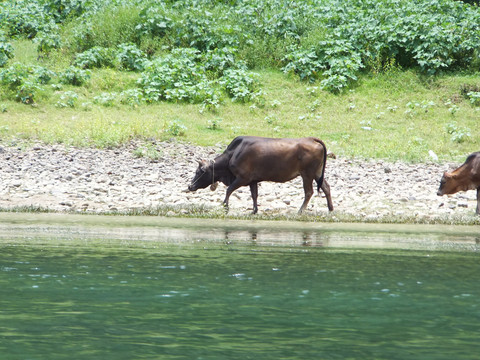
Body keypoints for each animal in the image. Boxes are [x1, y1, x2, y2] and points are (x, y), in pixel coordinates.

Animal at [188, 135, 334, 214]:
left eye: (198, 172)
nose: (190, 186)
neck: (232, 155)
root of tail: (312, 139)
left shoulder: (242, 177)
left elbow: (229, 190)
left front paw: (225, 206)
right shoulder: (253, 180)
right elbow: (254, 195)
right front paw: (254, 210)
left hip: (307, 174)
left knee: (309, 192)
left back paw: (300, 211)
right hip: (317, 172)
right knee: (326, 187)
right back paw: (331, 209)